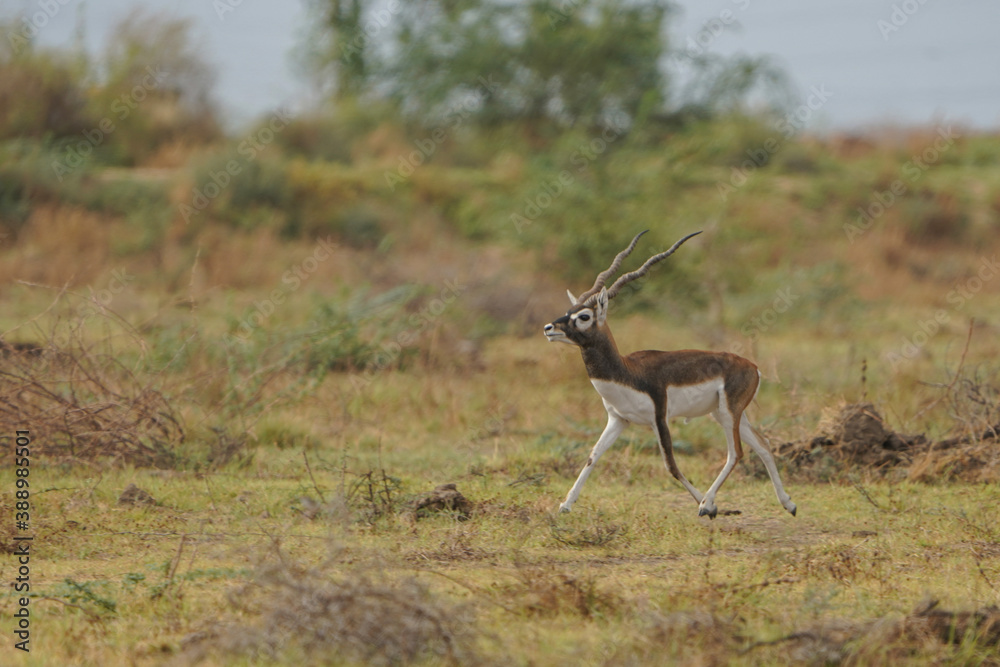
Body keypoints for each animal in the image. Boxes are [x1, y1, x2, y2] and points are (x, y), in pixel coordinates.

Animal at [543, 231, 796, 519]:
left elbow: (671, 466)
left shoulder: (659, 417)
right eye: (569, 311)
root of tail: (753, 366)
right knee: (762, 444)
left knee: (736, 453)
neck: (626, 372)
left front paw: (709, 506)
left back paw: (707, 504)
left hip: (728, 413)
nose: (549, 328)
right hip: (726, 414)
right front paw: (565, 505)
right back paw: (789, 504)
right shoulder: (618, 419)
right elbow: (592, 456)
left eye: (584, 316)